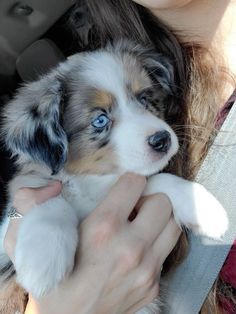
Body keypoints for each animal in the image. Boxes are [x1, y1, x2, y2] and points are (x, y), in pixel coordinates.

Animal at [0, 41, 229, 314]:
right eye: (100, 120)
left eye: (145, 98)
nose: (162, 140)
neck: (95, 182)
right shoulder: (25, 190)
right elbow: (51, 200)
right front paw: (42, 261)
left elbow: (158, 180)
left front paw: (202, 207)